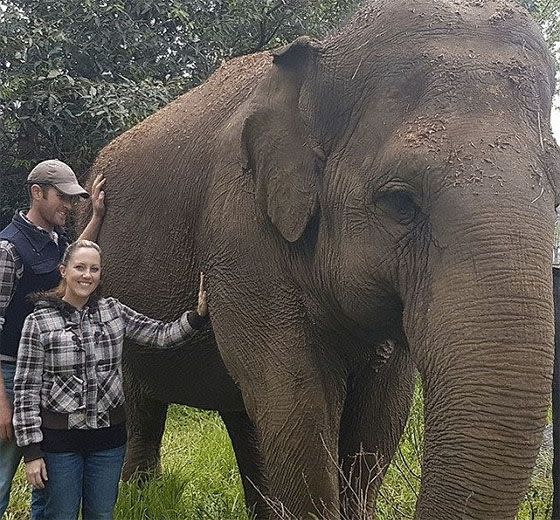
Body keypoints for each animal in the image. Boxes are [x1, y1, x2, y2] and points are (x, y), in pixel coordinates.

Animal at [83, 0, 560, 516]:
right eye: (399, 202)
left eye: (555, 196)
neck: (323, 55)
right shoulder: (238, 233)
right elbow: (295, 401)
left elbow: (380, 415)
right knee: (145, 404)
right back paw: (138, 497)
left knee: (242, 414)